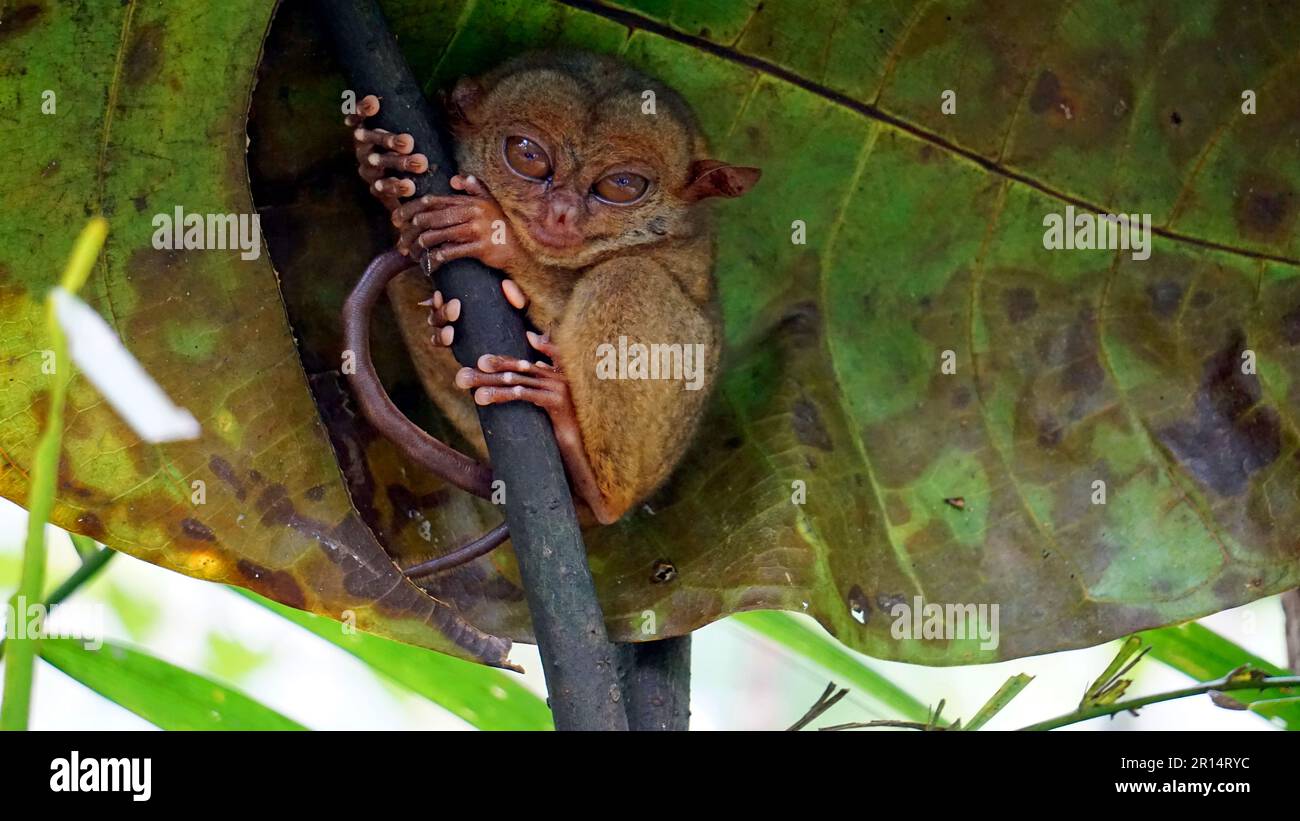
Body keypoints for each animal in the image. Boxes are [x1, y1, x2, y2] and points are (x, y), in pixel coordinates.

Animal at [344, 51, 760, 576]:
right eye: (527, 155)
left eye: (621, 185)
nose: (561, 211)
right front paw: (381, 162)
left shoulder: (683, 254)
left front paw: (495, 233)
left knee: (626, 277)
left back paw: (589, 469)